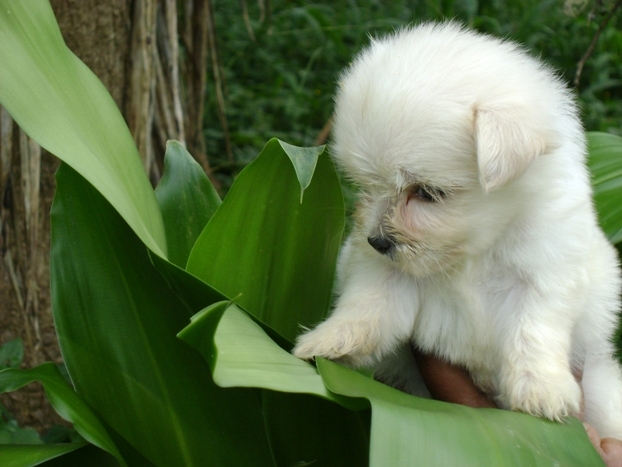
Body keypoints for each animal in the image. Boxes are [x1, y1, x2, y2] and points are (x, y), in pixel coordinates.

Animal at [294, 22, 622, 438]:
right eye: (367, 186)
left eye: (427, 192)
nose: (376, 241)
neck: (474, 251)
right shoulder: (388, 274)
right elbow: (368, 304)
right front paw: (331, 339)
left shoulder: (547, 272)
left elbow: (535, 329)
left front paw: (540, 390)